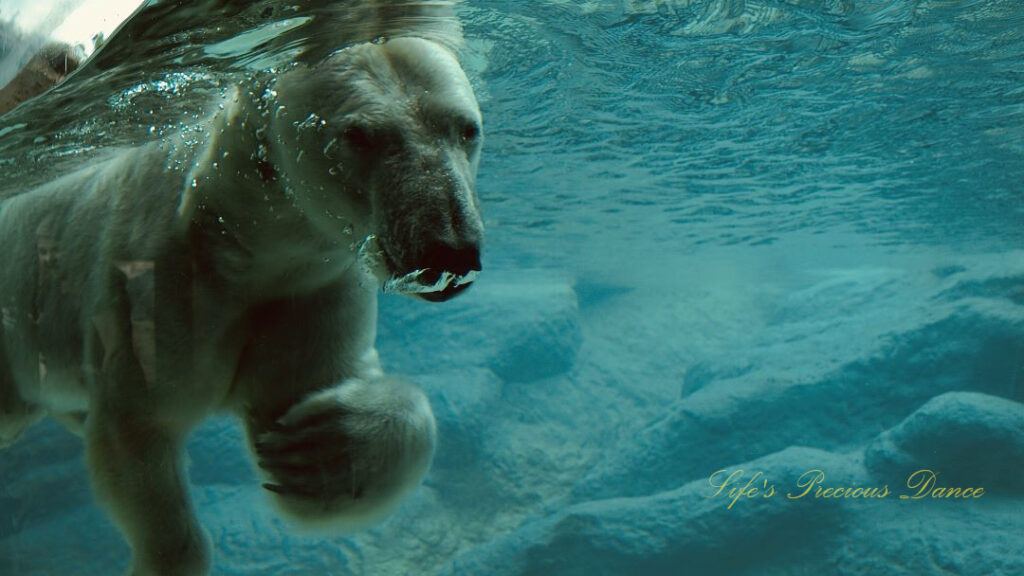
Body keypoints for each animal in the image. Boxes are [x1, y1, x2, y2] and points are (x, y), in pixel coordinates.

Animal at [0, 22, 483, 573]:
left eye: (468, 129)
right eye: (360, 135)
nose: (450, 249)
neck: (237, 238)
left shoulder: (307, 291)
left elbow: (307, 399)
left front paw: (320, 449)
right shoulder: (159, 286)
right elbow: (138, 425)